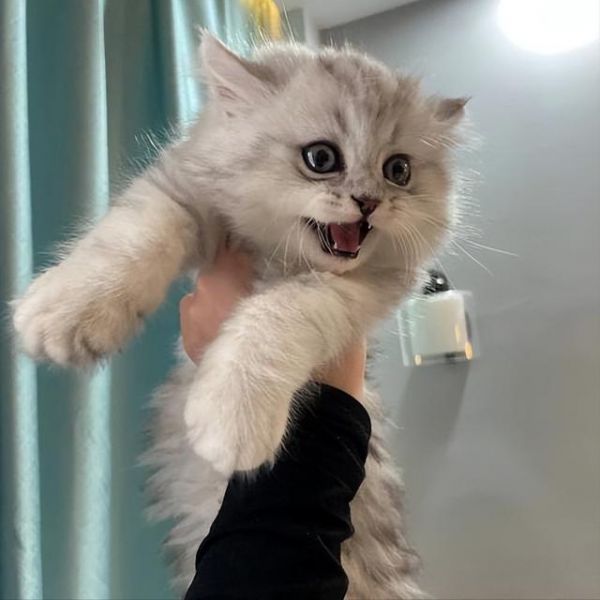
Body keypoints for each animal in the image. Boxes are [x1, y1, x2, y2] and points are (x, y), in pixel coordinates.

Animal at [12, 33, 468, 598]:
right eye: (321, 158)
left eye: (398, 171)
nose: (368, 202)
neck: (277, 258)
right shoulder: (180, 191)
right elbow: (135, 237)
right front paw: (64, 310)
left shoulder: (351, 295)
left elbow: (275, 321)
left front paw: (233, 420)